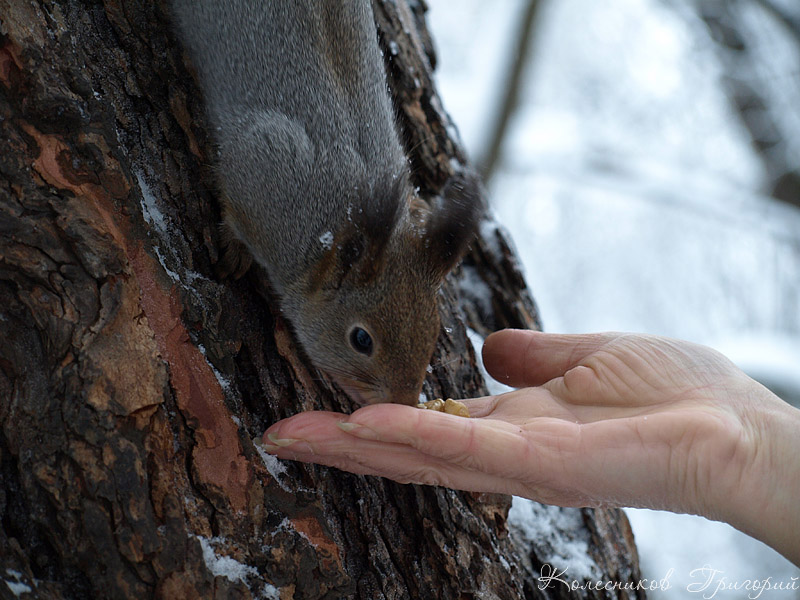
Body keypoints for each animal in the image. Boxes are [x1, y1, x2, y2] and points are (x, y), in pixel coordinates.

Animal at [169, 1, 482, 408]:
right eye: (361, 339)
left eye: (432, 334)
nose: (403, 401)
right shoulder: (263, 169)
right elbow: (231, 202)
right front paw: (234, 249)